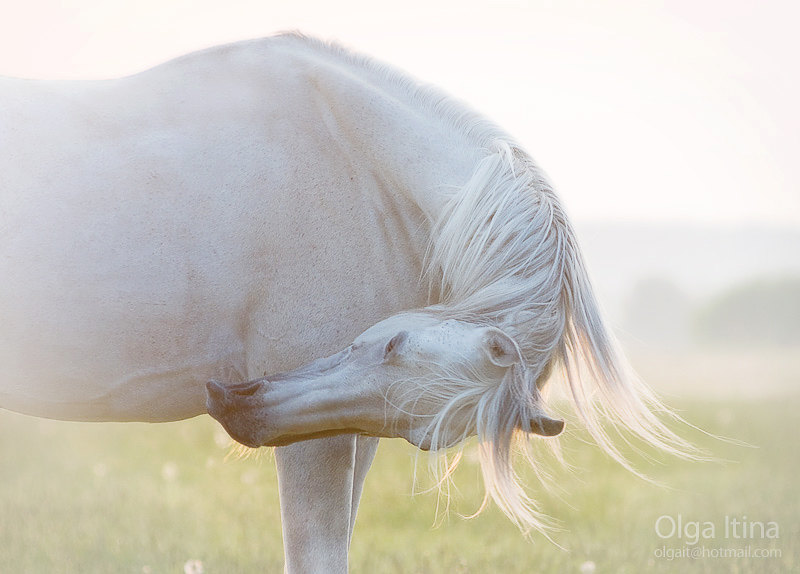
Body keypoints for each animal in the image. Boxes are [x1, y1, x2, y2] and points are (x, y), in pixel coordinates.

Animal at [0, 33, 692, 572]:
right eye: (391, 343)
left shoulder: (348, 433)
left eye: (425, 438)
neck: (358, 162)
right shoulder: (317, 444)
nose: (238, 407)